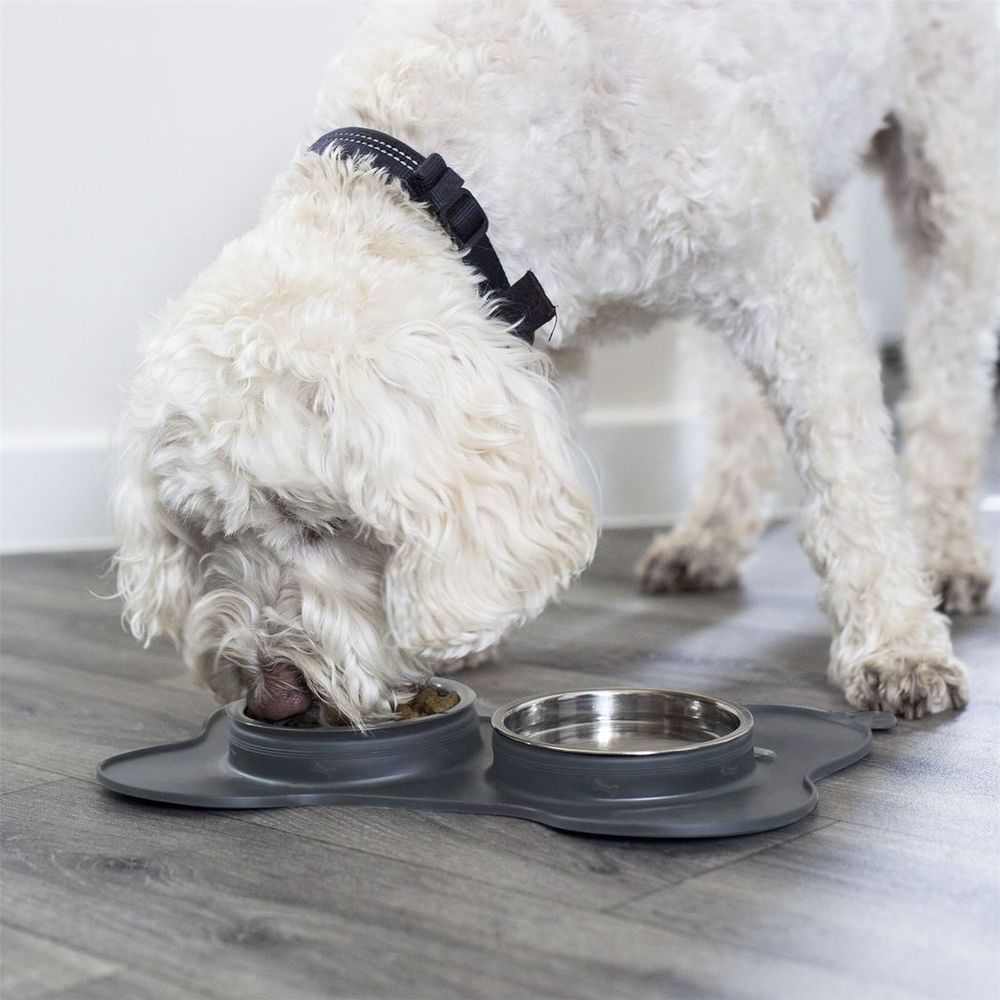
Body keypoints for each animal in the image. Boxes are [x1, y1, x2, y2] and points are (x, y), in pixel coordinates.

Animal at [111, 0, 1000, 720]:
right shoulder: (534, 342)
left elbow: (852, 483)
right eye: (201, 534)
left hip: (949, 159)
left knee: (949, 373)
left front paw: (896, 643)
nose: (273, 695)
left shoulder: (787, 281)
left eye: (322, 525)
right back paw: (709, 535)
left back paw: (949, 552)